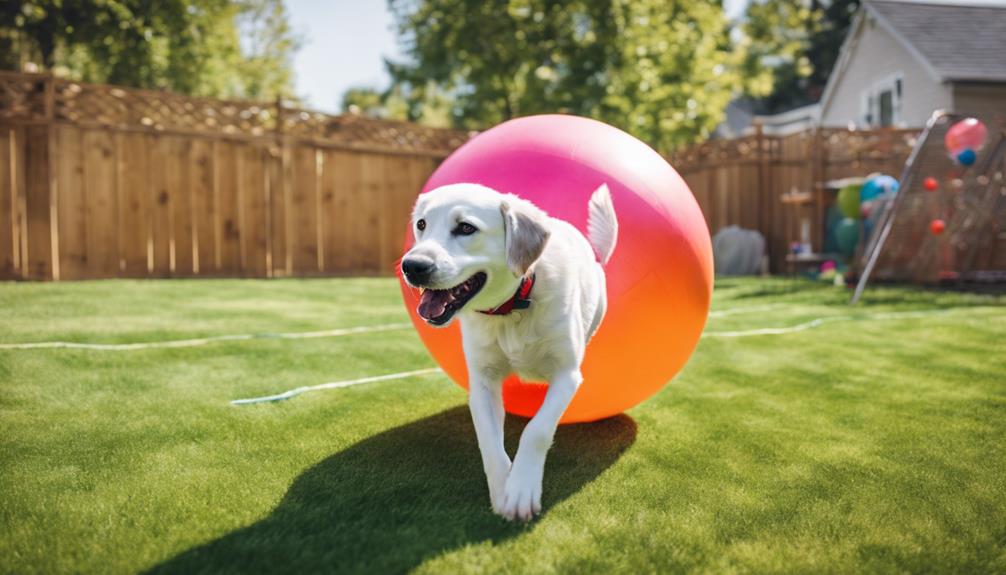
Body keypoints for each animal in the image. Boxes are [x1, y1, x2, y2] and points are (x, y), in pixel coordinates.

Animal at [398, 182, 615, 522]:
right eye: (421, 224)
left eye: (466, 227)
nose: (412, 266)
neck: (512, 308)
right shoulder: (483, 383)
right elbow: (489, 442)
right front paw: (503, 489)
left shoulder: (567, 375)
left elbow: (536, 429)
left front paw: (522, 487)